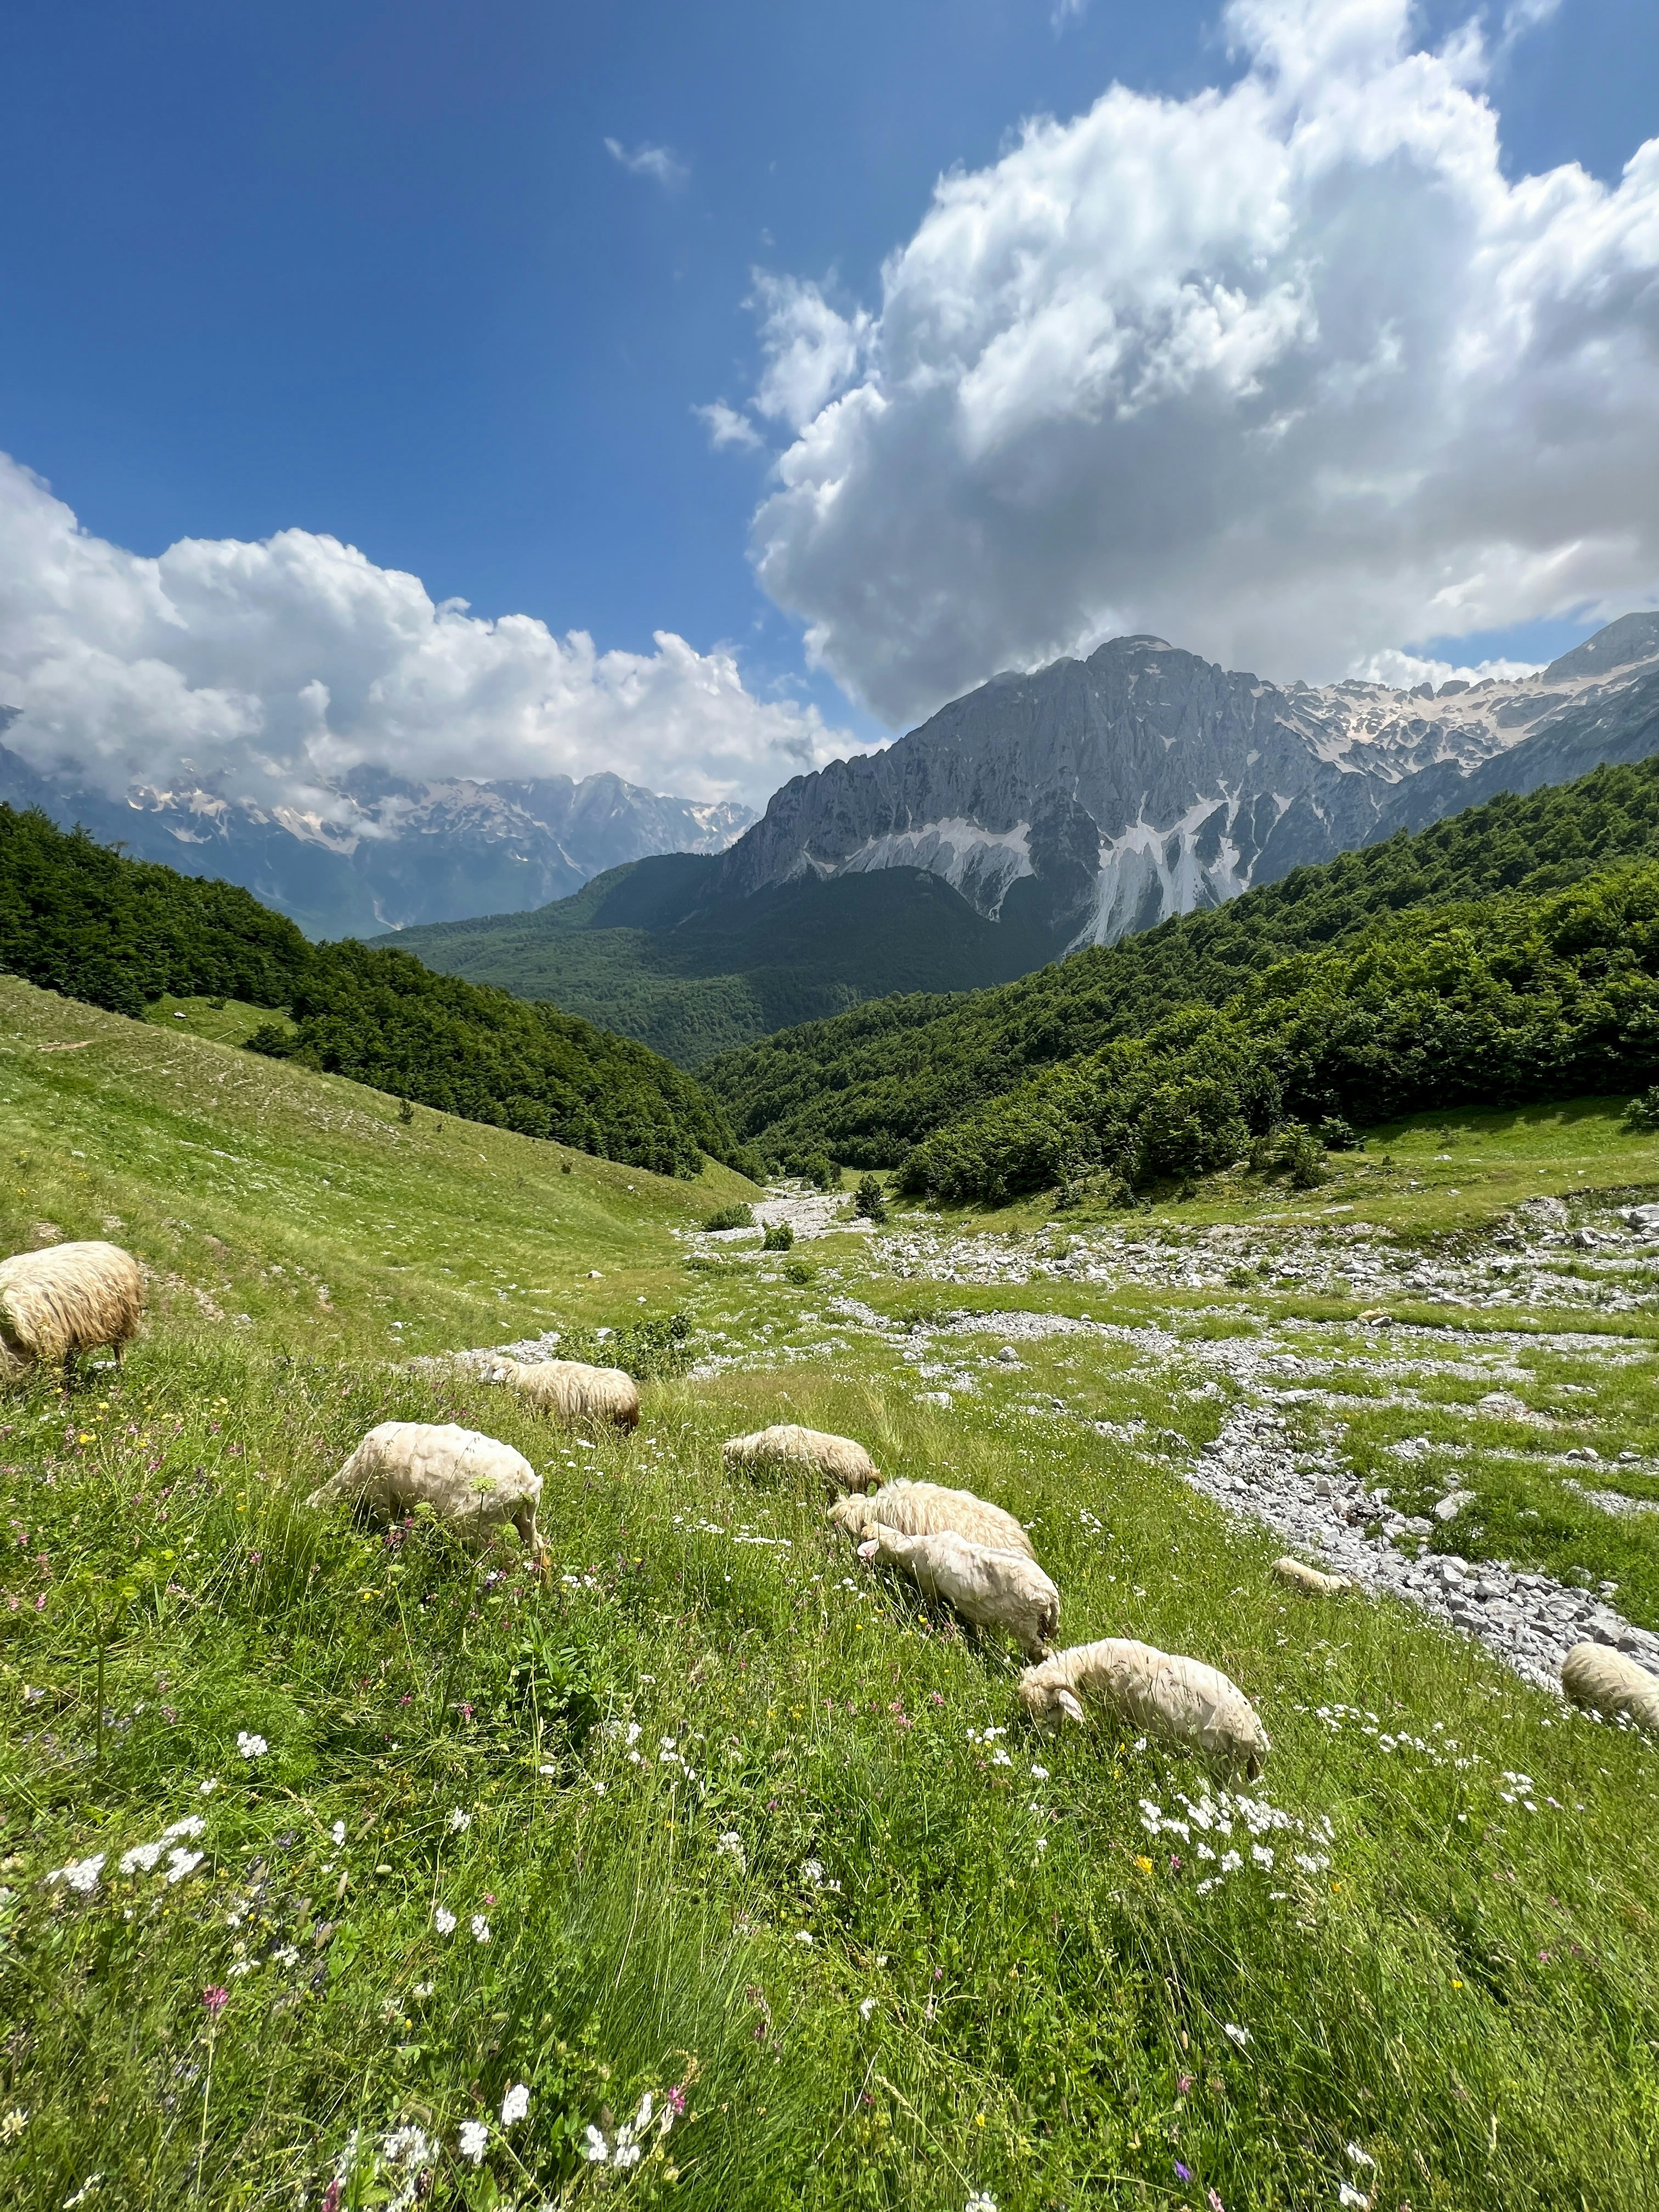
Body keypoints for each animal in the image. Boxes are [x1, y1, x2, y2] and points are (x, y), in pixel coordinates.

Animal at [308, 1422, 544, 1557]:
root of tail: (529, 1484)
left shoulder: (382, 1499)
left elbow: (392, 1527)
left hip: (478, 1525)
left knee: (510, 1557)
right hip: (522, 1518)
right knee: (538, 1552)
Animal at [854, 1521, 1059, 1659]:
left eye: (866, 1540)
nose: (861, 1563)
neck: (910, 1549)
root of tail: (1051, 1595)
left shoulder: (929, 1587)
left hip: (1023, 1625)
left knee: (1042, 1650)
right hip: (1043, 1622)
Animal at [1017, 1639, 1269, 1781]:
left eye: (1052, 1708)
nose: (1042, 1738)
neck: (1089, 1663)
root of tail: (1256, 1736)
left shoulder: (1118, 1714)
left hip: (1221, 1763)